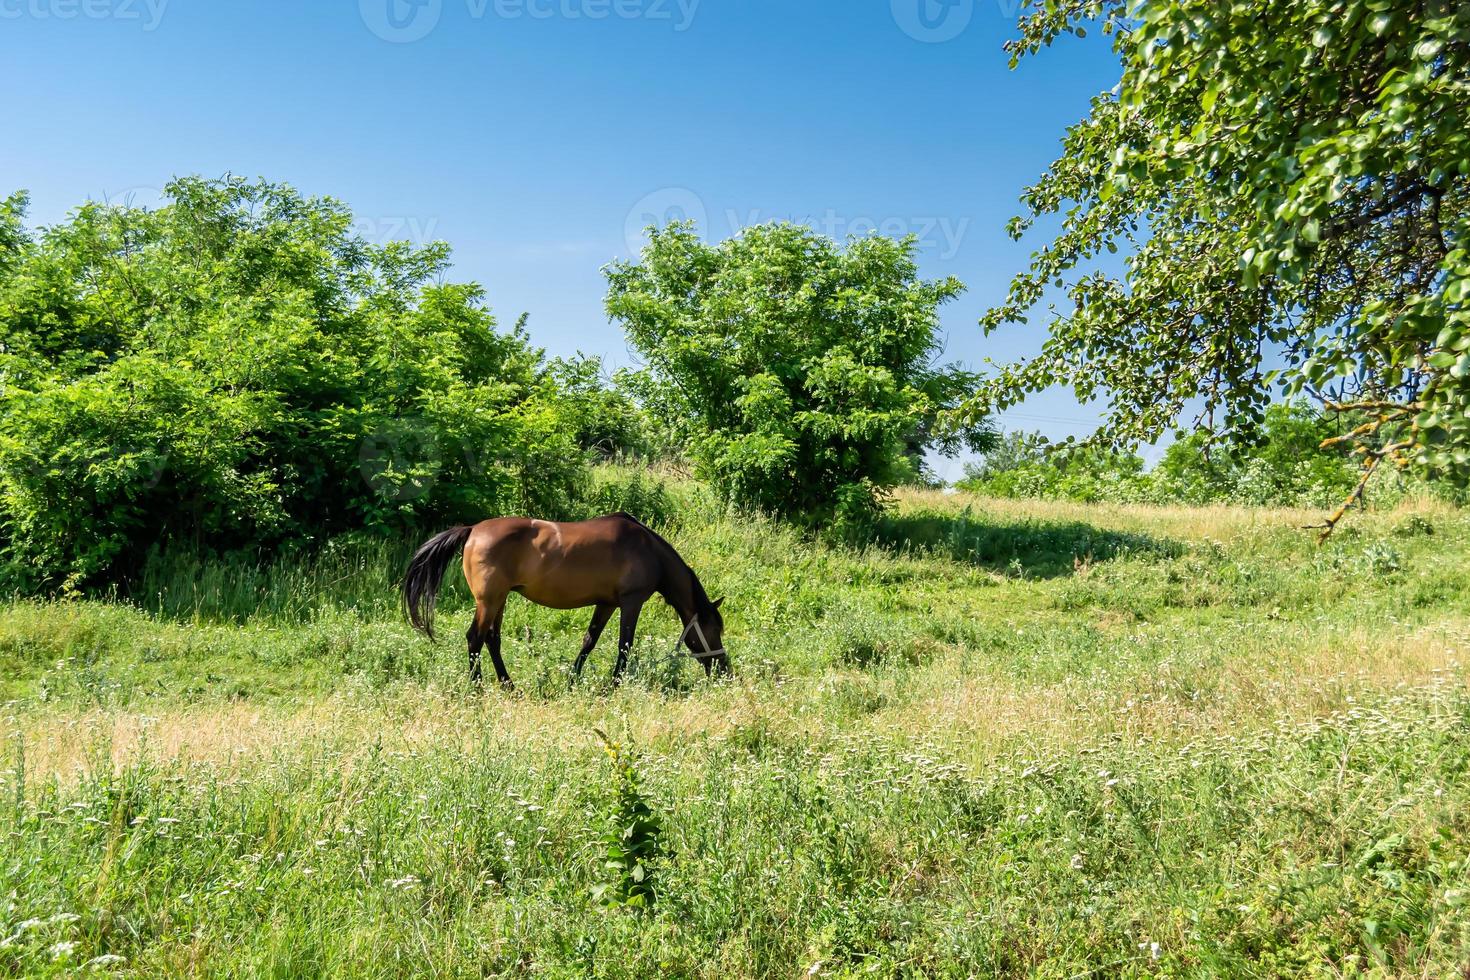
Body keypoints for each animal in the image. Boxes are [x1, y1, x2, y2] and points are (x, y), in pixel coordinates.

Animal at [402, 514, 729, 690]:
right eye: (714, 630)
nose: (725, 670)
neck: (648, 550)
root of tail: (472, 530)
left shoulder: (606, 604)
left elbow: (589, 640)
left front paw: (572, 681)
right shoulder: (631, 602)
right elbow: (624, 645)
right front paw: (615, 684)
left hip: (500, 600)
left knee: (492, 640)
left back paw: (509, 686)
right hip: (489, 601)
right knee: (475, 638)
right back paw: (478, 687)